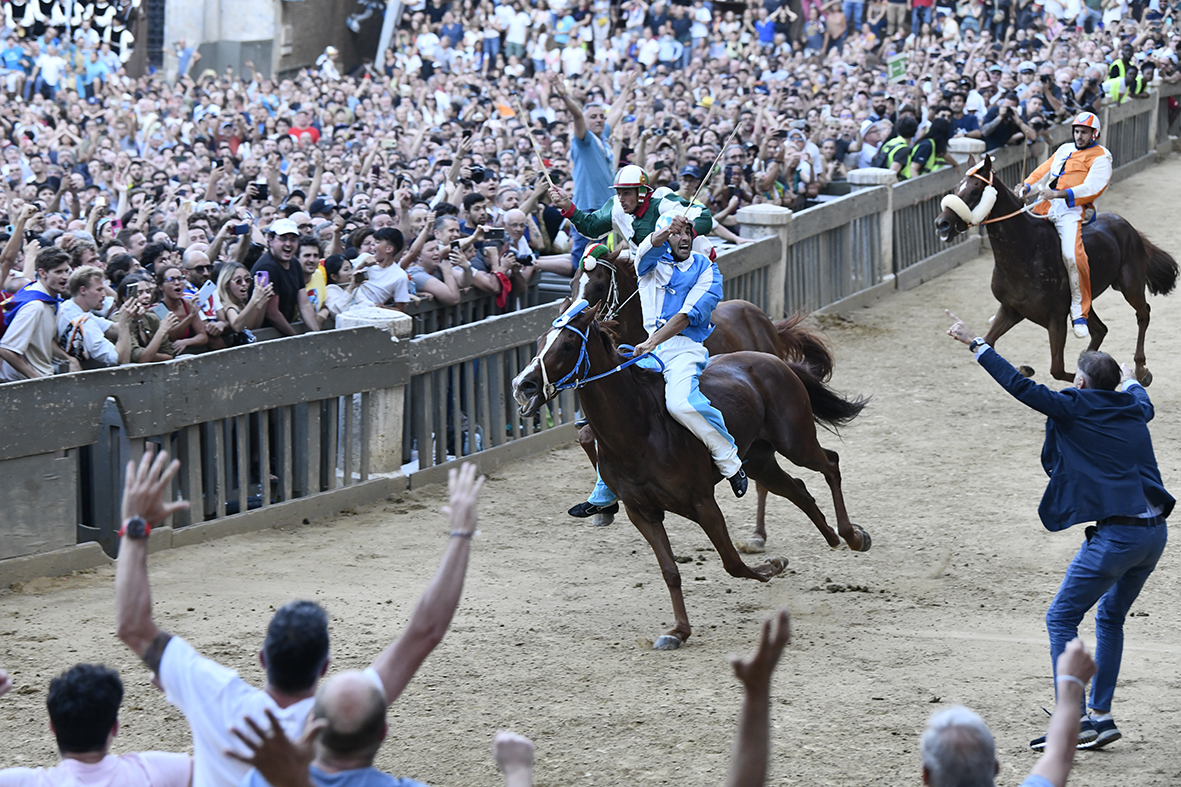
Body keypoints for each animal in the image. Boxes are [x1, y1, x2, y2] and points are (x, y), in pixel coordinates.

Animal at [507, 297, 869, 647]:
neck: (639, 428)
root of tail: (774, 360)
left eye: (567, 344)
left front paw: (772, 566)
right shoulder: (642, 512)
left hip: (796, 442)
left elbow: (732, 562)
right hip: (759, 460)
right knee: (797, 489)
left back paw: (853, 535)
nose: (523, 384)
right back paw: (832, 536)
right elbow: (670, 571)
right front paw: (678, 631)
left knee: (830, 463)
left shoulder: (702, 503)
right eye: (539, 341)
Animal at [566, 254, 836, 548]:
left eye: (600, 285)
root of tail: (763, 319)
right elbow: (587, 437)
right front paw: (603, 506)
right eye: (571, 284)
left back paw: (758, 533)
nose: (580, 318)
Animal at [930, 150, 1171, 382]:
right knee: (1100, 329)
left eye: (975, 190)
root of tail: (1126, 225)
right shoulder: (1011, 309)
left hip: (1130, 284)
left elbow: (1057, 369)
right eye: (957, 187)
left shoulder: (1056, 319)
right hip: (1085, 300)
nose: (942, 224)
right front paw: (1024, 369)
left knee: (1143, 313)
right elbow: (988, 342)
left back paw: (1141, 369)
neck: (1024, 254)